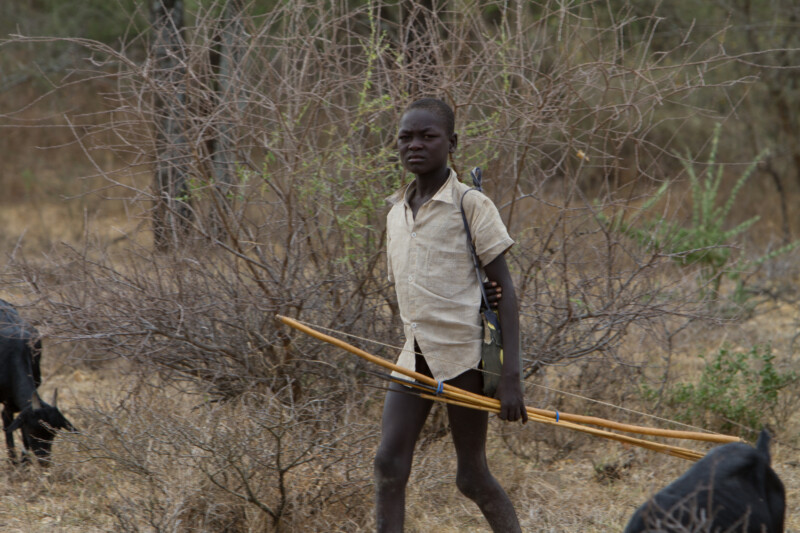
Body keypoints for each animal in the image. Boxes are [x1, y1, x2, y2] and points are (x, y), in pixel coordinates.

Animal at [0, 299, 75, 465]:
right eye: (33, 432)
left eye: (52, 434)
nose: (44, 462)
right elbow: (8, 427)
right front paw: (13, 463)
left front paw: (24, 463)